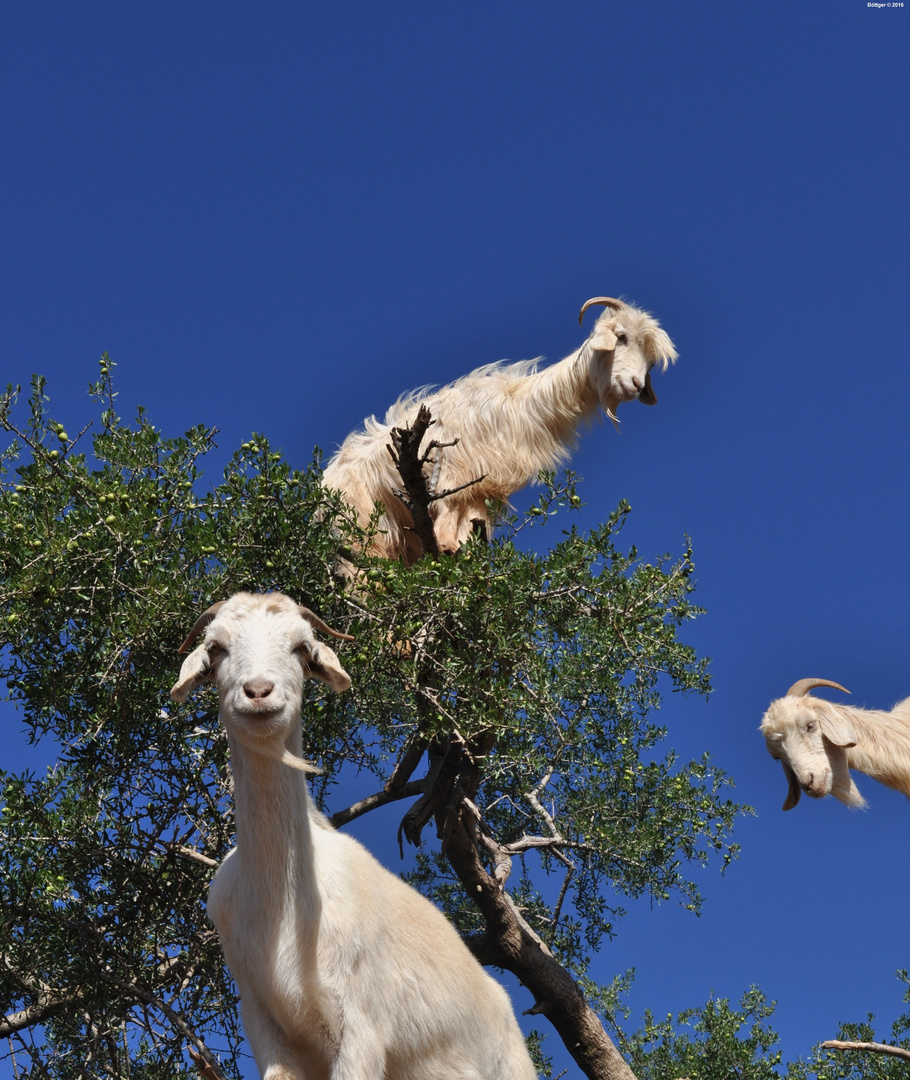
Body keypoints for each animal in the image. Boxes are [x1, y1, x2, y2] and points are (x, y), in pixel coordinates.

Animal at [169, 591, 537, 1080]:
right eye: (217, 649)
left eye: (301, 649)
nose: (259, 693)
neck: (280, 905)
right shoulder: (265, 1024)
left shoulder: (362, 1025)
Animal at [326, 295, 677, 565]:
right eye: (621, 336)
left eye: (651, 362)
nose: (635, 385)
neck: (514, 408)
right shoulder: (453, 472)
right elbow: (445, 518)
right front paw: (446, 549)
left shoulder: (481, 489)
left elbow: (466, 528)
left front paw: (458, 555)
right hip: (363, 531)